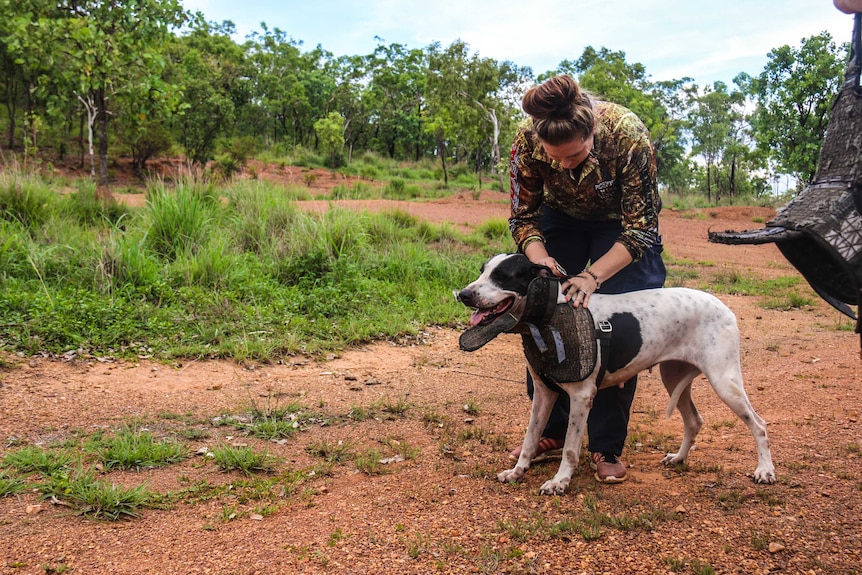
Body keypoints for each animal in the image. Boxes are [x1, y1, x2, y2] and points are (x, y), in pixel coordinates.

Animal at [456, 254, 780, 498]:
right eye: (483, 271)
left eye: (503, 276)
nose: (463, 295)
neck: (548, 318)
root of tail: (724, 306)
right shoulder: (544, 393)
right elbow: (530, 438)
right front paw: (518, 471)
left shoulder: (582, 397)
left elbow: (570, 448)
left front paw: (560, 482)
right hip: (674, 377)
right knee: (694, 420)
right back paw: (679, 458)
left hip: (725, 381)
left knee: (759, 425)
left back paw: (765, 471)